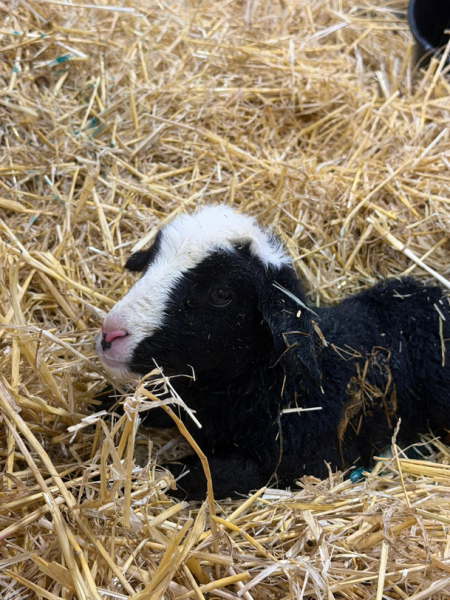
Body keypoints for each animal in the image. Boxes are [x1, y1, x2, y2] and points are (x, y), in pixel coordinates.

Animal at [96, 205, 450, 500]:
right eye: (148, 264)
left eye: (221, 293)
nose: (110, 334)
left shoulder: (296, 465)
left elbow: (198, 475)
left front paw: (135, 478)